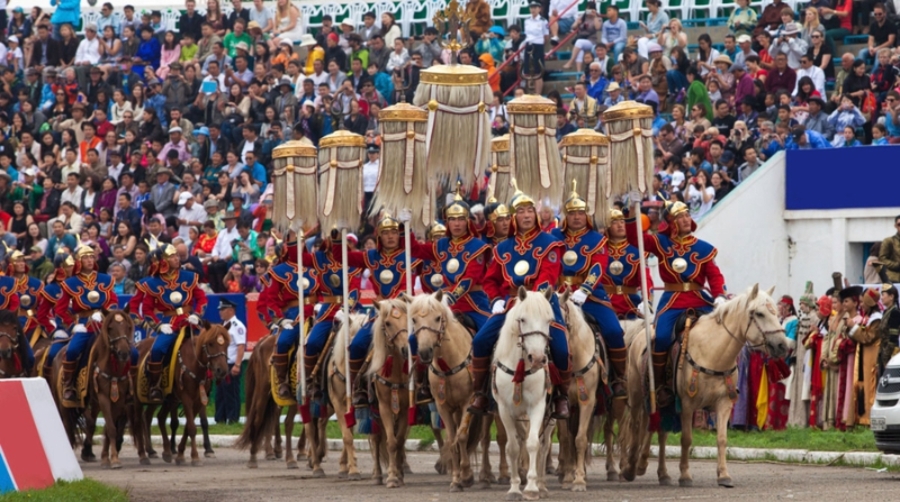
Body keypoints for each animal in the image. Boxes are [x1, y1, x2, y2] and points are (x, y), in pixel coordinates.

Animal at [135, 322, 232, 466]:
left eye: (227, 344)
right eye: (210, 343)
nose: (222, 370)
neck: (194, 364)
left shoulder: (199, 400)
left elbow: (190, 426)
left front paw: (180, 454)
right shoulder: (186, 398)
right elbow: (191, 427)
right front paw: (195, 457)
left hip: (165, 400)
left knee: (157, 417)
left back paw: (161, 451)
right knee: (139, 421)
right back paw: (144, 454)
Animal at [362, 300, 412, 488]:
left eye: (408, 320)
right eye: (388, 323)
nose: (406, 349)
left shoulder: (404, 409)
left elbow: (399, 441)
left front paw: (398, 474)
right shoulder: (383, 407)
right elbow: (390, 442)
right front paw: (391, 477)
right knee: (376, 439)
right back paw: (377, 475)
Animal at [496, 288, 560, 500]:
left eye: (549, 320)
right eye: (522, 319)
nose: (538, 359)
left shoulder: (538, 407)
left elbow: (533, 444)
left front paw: (532, 487)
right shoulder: (504, 410)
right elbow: (513, 447)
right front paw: (515, 487)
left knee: (544, 444)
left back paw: (541, 484)